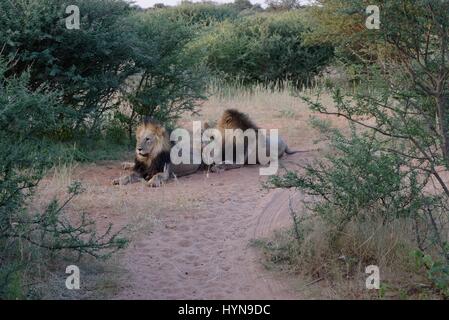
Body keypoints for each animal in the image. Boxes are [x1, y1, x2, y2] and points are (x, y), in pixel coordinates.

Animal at [112, 109, 300, 188]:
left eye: (148, 139)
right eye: (138, 138)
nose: (138, 149)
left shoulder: (164, 172)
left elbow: (158, 176)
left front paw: (152, 182)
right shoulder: (141, 169)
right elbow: (130, 175)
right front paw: (119, 179)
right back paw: (124, 164)